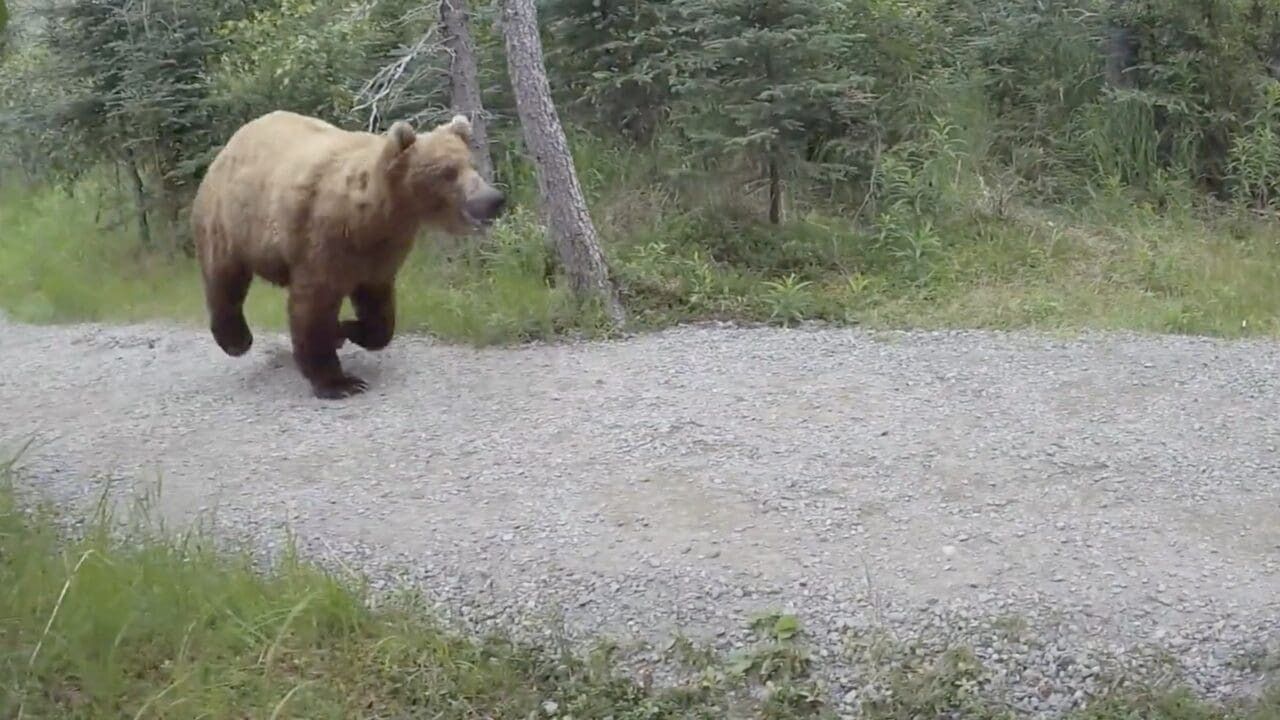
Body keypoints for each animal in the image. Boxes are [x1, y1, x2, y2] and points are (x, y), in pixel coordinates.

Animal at [190, 110, 506, 399]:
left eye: (472, 165)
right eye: (447, 172)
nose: (493, 200)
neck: (376, 216)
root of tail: (229, 145)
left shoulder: (379, 255)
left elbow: (379, 315)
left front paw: (344, 330)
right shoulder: (323, 241)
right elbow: (313, 307)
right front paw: (340, 381)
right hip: (230, 222)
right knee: (224, 278)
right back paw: (236, 339)